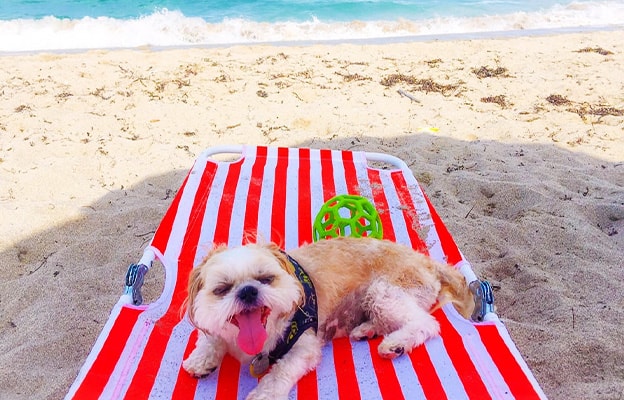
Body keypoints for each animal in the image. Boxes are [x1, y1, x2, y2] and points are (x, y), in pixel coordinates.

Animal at [180, 236, 472, 398]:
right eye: (222, 289)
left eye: (266, 279)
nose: (248, 291)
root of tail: (427, 262)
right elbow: (210, 337)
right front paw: (201, 358)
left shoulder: (303, 345)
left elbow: (281, 371)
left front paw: (265, 393)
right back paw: (366, 329)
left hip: (385, 290)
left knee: (425, 323)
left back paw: (395, 343)